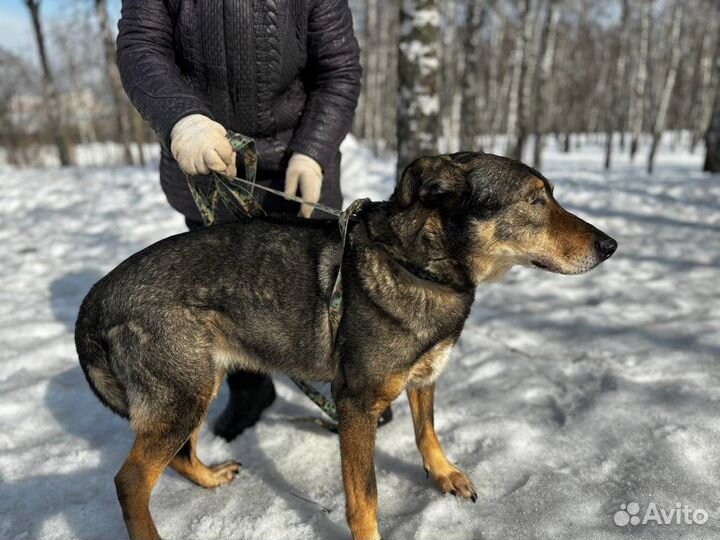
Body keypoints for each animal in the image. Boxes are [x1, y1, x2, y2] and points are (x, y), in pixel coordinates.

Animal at [73, 150, 616, 536]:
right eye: (534, 200)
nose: (611, 246)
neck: (416, 264)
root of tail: (97, 297)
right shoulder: (354, 403)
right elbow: (365, 497)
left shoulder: (424, 376)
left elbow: (427, 431)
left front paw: (443, 474)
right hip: (184, 395)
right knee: (131, 482)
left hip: (194, 388)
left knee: (180, 457)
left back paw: (209, 477)